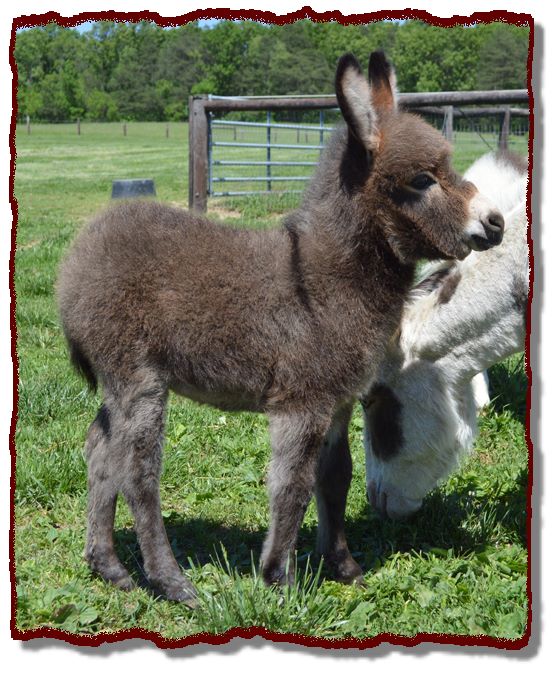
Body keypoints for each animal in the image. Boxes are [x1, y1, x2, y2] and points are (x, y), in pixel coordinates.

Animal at [57, 52, 503, 605]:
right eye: (422, 180)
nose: (496, 223)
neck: (328, 274)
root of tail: (75, 261)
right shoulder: (301, 401)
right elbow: (290, 486)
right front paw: (279, 578)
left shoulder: (336, 400)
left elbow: (335, 478)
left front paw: (343, 566)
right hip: (138, 377)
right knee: (139, 475)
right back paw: (173, 583)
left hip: (118, 382)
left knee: (100, 451)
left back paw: (110, 568)